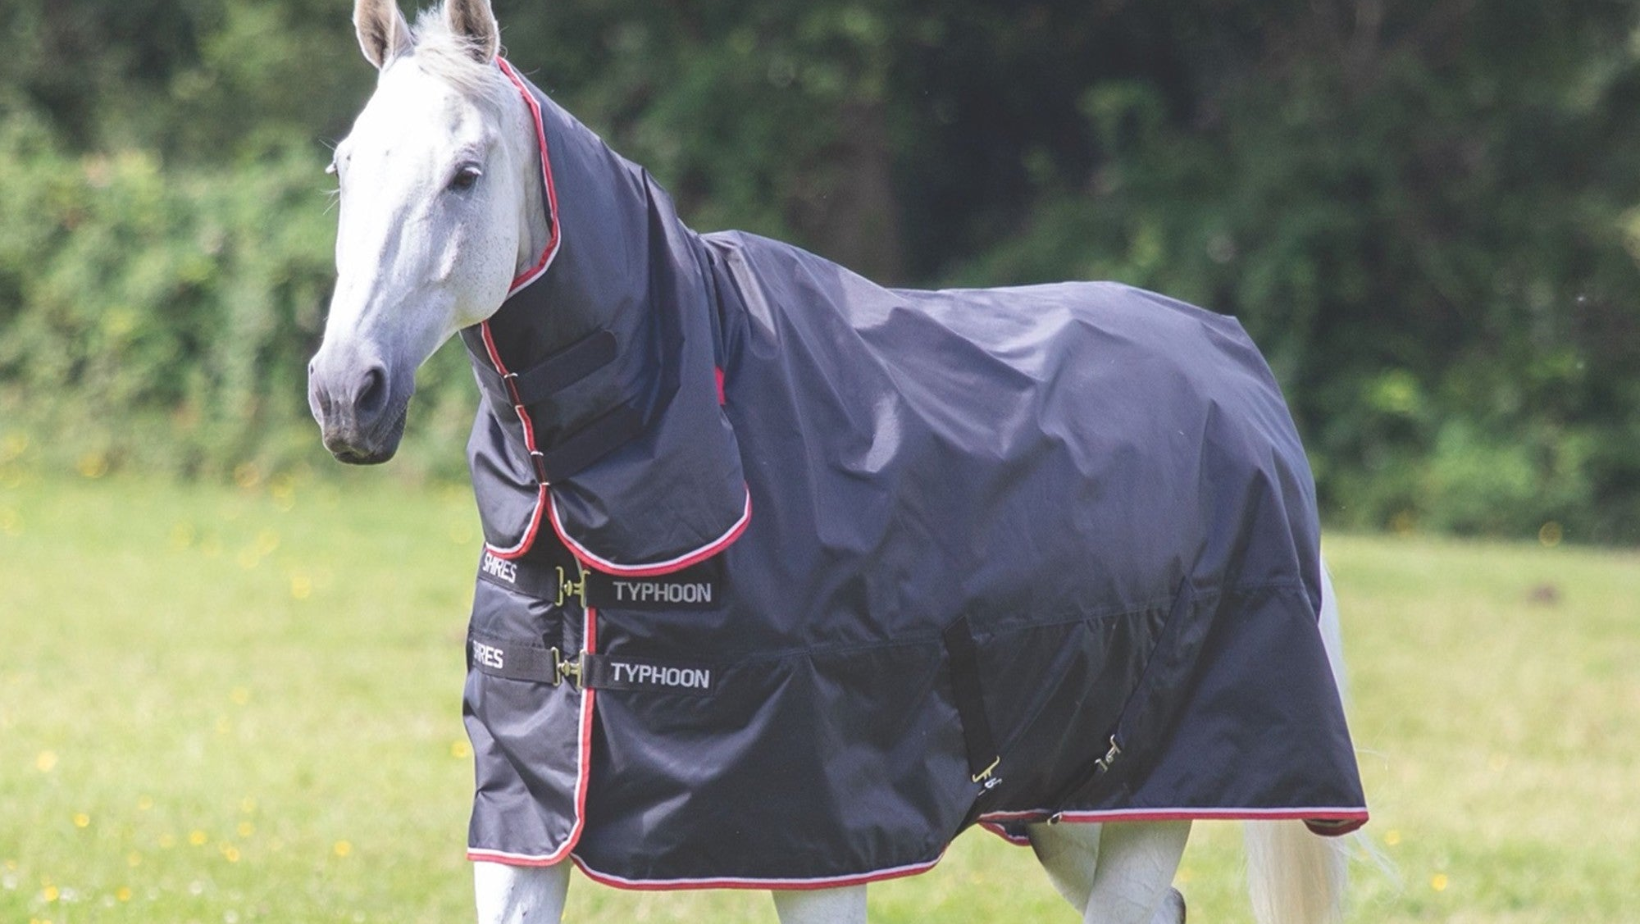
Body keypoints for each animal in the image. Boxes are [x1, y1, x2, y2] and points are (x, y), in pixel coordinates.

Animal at [306, 2, 1366, 922]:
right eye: (345, 167)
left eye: (466, 173)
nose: (346, 392)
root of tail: (1237, 369)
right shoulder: (529, 822)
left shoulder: (818, 835)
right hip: (1062, 799)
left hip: (1160, 788)